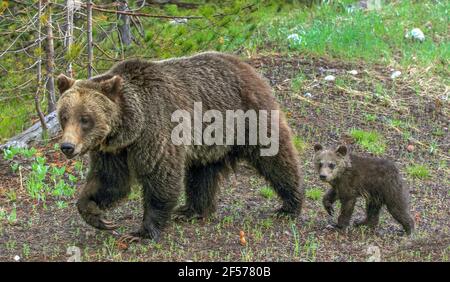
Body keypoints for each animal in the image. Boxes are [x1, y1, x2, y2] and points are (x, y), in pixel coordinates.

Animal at [55, 51, 302, 241]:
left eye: (85, 119)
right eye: (64, 116)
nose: (67, 146)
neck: (130, 128)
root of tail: (246, 66)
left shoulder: (157, 132)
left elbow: (160, 178)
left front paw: (142, 232)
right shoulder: (112, 151)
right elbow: (110, 181)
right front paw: (97, 215)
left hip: (248, 116)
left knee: (275, 157)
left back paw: (290, 205)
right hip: (209, 140)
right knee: (202, 173)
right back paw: (192, 210)